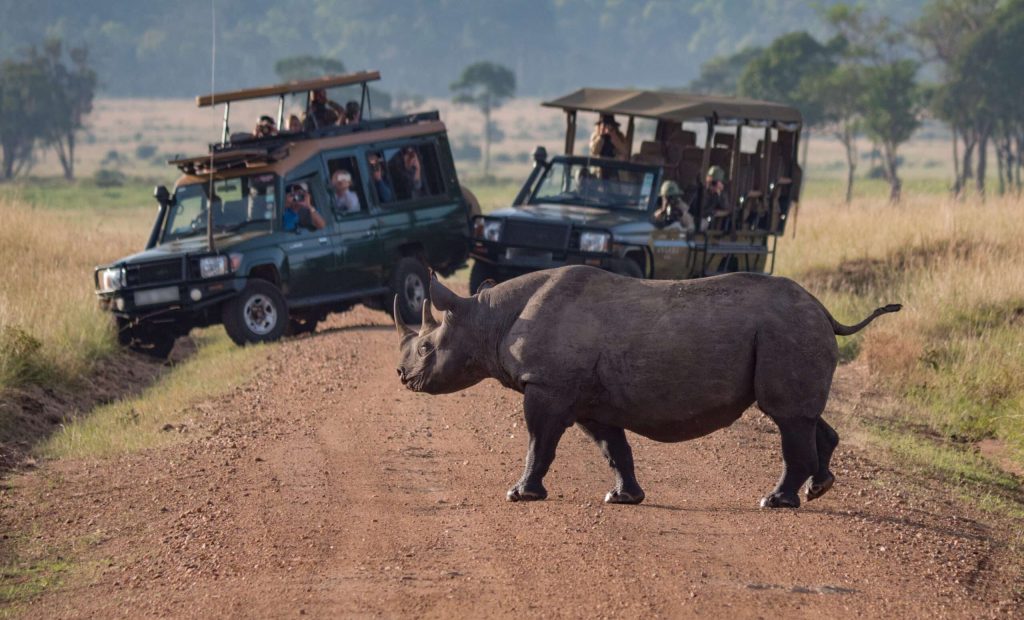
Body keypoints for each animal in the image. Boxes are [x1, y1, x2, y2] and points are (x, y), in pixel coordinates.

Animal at [394, 265, 900, 509]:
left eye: (426, 349)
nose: (401, 376)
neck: (488, 318)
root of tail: (825, 310)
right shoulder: (586, 399)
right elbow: (613, 448)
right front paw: (624, 498)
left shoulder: (549, 386)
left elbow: (539, 442)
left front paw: (520, 494)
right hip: (792, 329)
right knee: (803, 416)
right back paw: (819, 489)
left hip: (787, 329)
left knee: (787, 416)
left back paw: (776, 502)